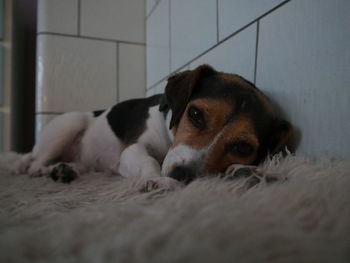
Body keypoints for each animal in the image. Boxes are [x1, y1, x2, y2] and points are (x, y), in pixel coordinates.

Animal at [15, 64, 290, 190]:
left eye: (242, 148)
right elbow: (148, 161)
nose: (183, 175)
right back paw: (44, 169)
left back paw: (65, 169)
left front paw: (251, 172)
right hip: (69, 123)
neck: (169, 137)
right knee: (35, 163)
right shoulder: (132, 150)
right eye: (196, 114)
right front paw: (155, 179)